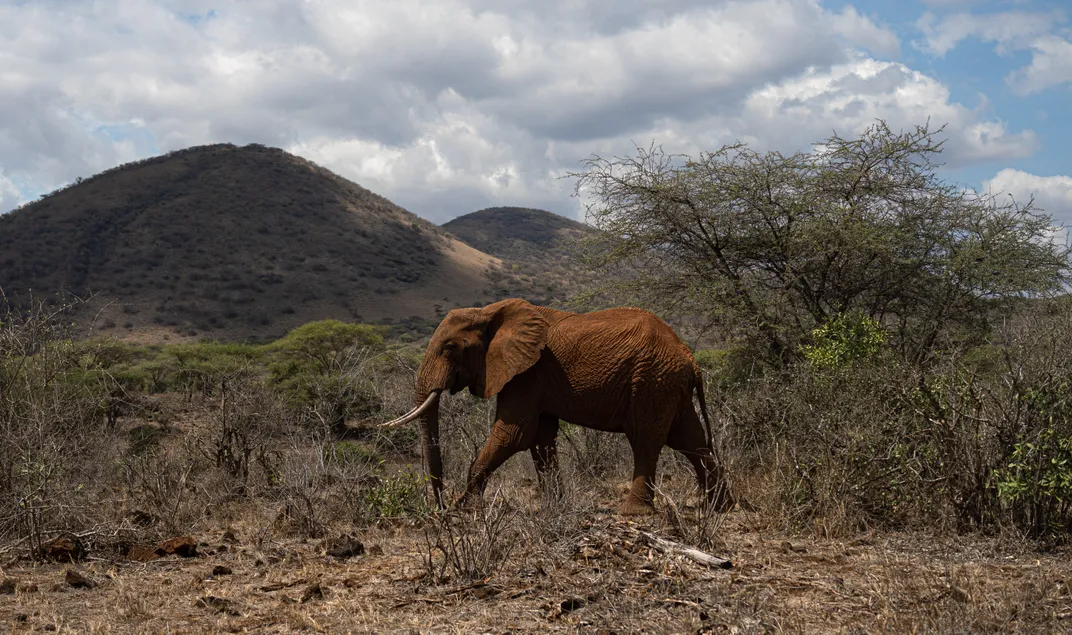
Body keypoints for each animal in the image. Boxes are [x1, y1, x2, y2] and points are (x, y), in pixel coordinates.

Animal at [381, 298, 733, 514]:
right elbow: (540, 438)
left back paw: (634, 513)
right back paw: (719, 507)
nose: (440, 507)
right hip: (669, 384)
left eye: (450, 348)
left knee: (646, 440)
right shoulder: (534, 376)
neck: (489, 312)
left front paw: (467, 508)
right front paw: (555, 508)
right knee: (691, 440)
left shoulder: (527, 372)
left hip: (652, 379)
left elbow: (514, 433)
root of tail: (690, 358)